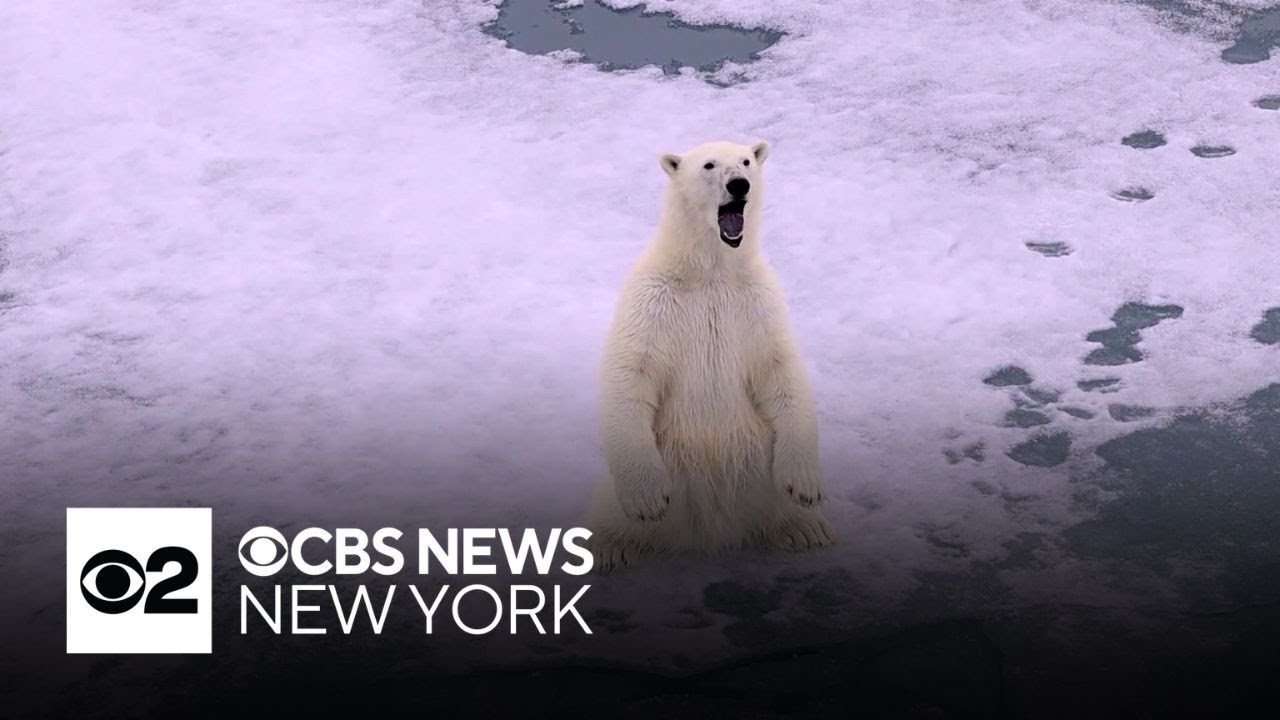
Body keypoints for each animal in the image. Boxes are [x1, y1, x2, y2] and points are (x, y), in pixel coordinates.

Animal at [587, 139, 834, 572]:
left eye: (747, 161)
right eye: (709, 165)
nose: (739, 184)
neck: (710, 273)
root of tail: (712, 527)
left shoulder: (757, 301)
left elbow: (780, 369)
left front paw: (805, 486)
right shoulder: (652, 300)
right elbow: (632, 370)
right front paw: (648, 499)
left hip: (757, 460)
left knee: (777, 502)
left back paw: (807, 529)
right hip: (670, 459)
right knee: (610, 513)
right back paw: (606, 547)